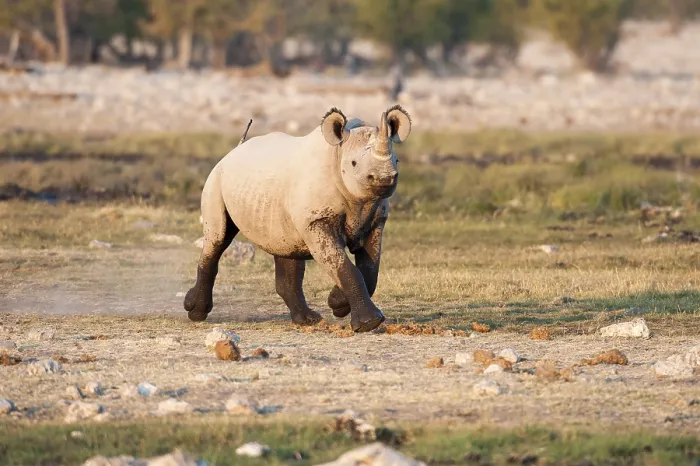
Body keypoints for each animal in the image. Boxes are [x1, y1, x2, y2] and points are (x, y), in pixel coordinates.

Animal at [184, 105, 411, 333]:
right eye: (354, 163)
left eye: (397, 160)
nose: (384, 178)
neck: (337, 154)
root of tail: (232, 151)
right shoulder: (317, 221)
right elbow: (344, 265)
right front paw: (367, 323)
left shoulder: (375, 220)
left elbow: (370, 270)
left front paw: (337, 303)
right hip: (215, 180)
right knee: (218, 238)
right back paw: (195, 312)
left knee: (285, 246)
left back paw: (309, 320)